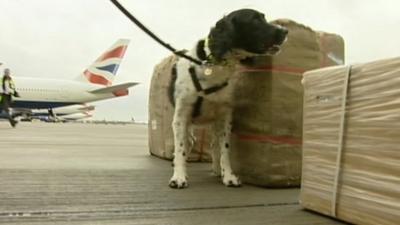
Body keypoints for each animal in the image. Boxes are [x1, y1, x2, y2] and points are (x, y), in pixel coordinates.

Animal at [169, 8, 288, 188]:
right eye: (255, 20)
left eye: (264, 18)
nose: (285, 30)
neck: (213, 67)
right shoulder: (181, 115)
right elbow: (180, 146)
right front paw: (179, 176)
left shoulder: (224, 116)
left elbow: (224, 149)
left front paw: (229, 176)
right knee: (188, 141)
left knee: (211, 144)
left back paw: (217, 170)